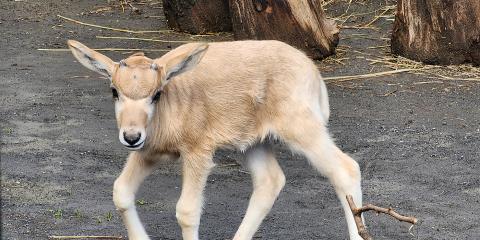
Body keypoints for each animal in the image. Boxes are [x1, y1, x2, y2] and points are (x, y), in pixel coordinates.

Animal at [65, 39, 362, 240]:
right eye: (114, 91)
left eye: (156, 94)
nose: (131, 136)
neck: (174, 97)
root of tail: (312, 72)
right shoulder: (149, 152)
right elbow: (121, 192)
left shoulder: (198, 152)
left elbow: (187, 211)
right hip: (253, 143)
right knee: (270, 180)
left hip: (300, 128)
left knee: (346, 169)